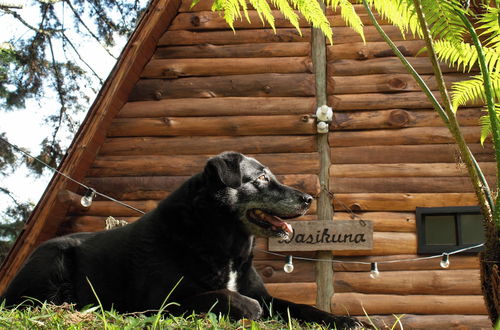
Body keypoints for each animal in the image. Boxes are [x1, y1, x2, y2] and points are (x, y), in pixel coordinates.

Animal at [1, 151, 362, 328]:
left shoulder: (268, 295)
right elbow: (226, 296)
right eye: (260, 179)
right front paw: (247, 307)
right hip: (53, 258)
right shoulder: (159, 302)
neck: (225, 242)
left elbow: (301, 306)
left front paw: (343, 320)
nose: (308, 199)